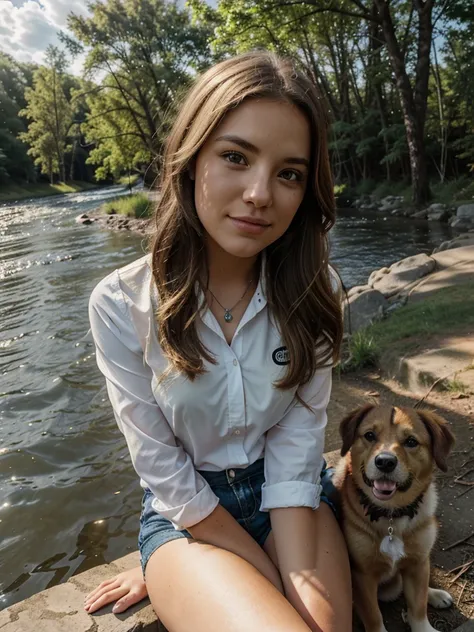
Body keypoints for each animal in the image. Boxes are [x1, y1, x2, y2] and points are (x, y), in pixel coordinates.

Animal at [334, 404, 456, 632]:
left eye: (411, 442)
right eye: (369, 435)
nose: (385, 462)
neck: (392, 515)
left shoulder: (418, 565)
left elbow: (418, 608)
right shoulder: (362, 576)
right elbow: (373, 616)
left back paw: (435, 594)